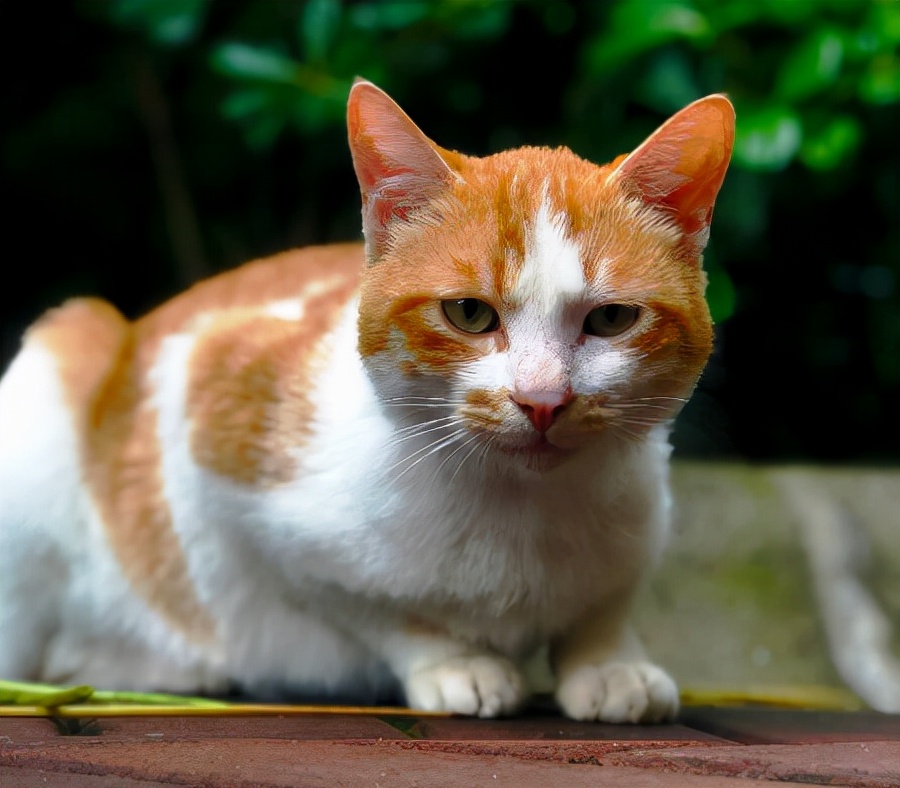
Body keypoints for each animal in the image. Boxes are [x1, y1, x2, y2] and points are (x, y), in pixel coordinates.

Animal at [0, 80, 732, 720]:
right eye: (469, 313)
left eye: (611, 319)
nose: (542, 399)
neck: (518, 510)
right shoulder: (212, 411)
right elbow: (363, 602)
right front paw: (454, 660)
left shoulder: (644, 506)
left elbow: (606, 600)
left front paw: (610, 662)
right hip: (53, 371)